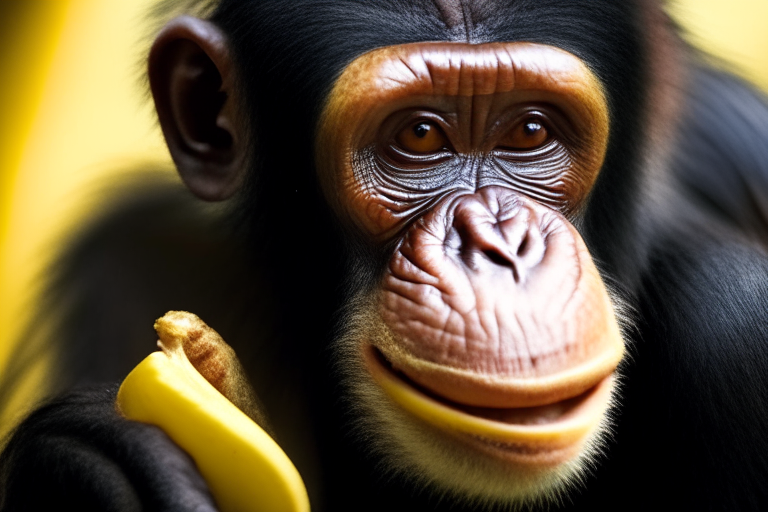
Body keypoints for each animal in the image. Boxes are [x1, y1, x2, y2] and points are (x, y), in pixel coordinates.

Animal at [1, 0, 768, 510]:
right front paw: (85, 461)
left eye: (530, 129)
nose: (499, 246)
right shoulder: (128, 259)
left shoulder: (736, 321)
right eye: (420, 136)